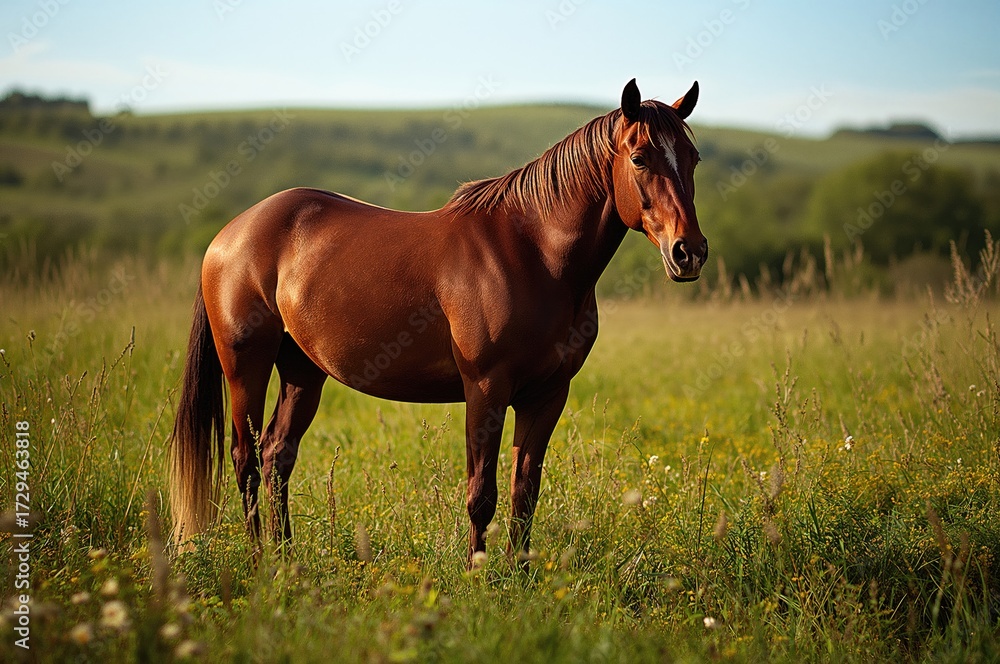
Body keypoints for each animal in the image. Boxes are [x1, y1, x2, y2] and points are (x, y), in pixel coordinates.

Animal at [169, 78, 707, 567]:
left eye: (694, 158)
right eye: (640, 158)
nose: (689, 252)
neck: (533, 253)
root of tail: (230, 234)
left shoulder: (547, 394)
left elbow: (525, 491)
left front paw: (520, 577)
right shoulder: (486, 388)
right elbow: (482, 494)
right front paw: (479, 577)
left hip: (302, 370)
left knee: (276, 456)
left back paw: (286, 558)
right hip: (246, 367)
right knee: (245, 460)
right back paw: (262, 561)